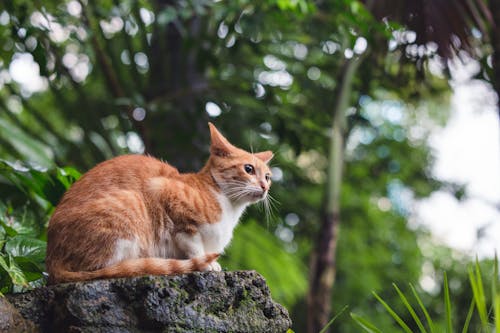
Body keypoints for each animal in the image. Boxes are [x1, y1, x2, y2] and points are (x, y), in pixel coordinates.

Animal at [46, 123, 274, 284]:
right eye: (248, 169)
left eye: (268, 176)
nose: (265, 186)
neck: (229, 206)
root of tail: (51, 261)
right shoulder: (164, 192)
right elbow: (192, 243)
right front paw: (204, 263)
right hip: (132, 202)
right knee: (105, 268)